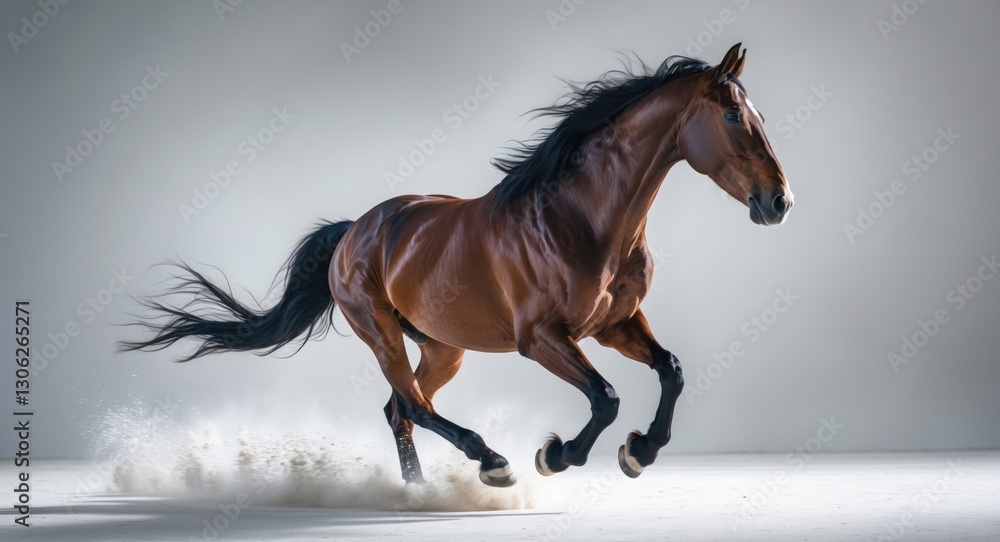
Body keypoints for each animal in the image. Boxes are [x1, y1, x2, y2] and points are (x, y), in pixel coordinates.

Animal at [119, 43, 792, 488]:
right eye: (734, 115)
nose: (779, 202)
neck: (583, 218)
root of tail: (352, 232)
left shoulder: (614, 324)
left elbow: (671, 371)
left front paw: (640, 453)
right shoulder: (542, 338)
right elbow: (604, 399)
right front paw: (556, 456)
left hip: (445, 347)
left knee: (401, 408)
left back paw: (418, 490)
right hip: (381, 333)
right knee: (412, 405)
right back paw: (490, 462)